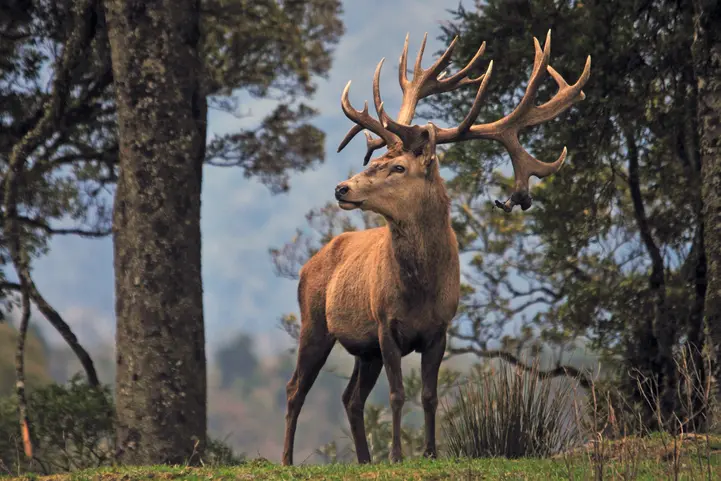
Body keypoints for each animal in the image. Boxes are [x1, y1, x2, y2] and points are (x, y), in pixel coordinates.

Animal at [281, 30, 591, 466]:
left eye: (397, 167)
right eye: (377, 157)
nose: (342, 188)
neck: (420, 291)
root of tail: (309, 263)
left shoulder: (439, 329)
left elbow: (428, 396)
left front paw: (428, 452)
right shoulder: (385, 324)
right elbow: (398, 395)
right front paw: (397, 455)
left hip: (362, 349)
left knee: (350, 398)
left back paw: (364, 459)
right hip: (314, 321)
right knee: (296, 388)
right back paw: (287, 459)